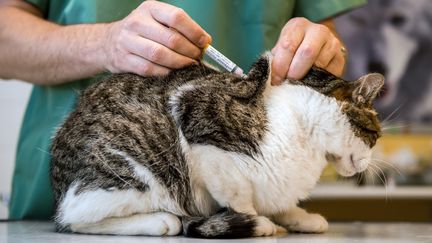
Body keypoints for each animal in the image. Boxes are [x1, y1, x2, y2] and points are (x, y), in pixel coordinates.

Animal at [50, 52, 384, 237]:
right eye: (376, 135)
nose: (370, 164)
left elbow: (279, 200)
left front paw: (296, 217)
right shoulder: (197, 119)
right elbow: (238, 195)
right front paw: (257, 222)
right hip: (132, 167)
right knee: (75, 217)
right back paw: (161, 220)